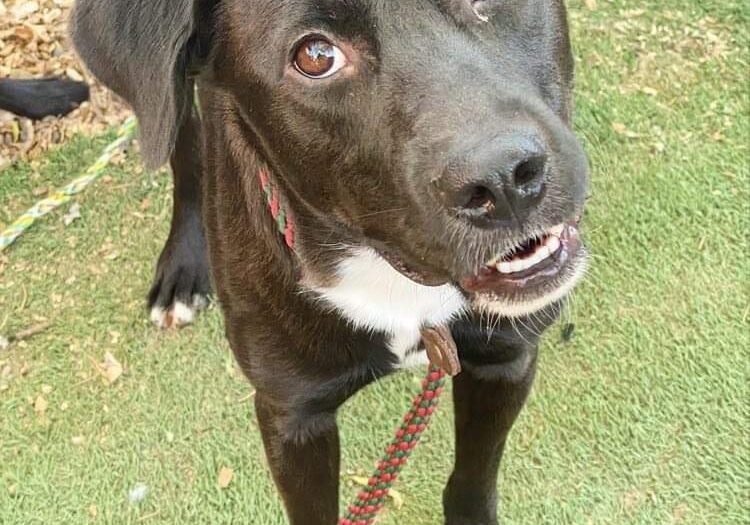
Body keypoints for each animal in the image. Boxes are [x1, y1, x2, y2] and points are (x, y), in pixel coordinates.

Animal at [72, 2, 588, 520]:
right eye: (316, 56)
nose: (502, 181)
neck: (393, 275)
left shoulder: (506, 358)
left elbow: (474, 476)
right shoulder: (293, 418)